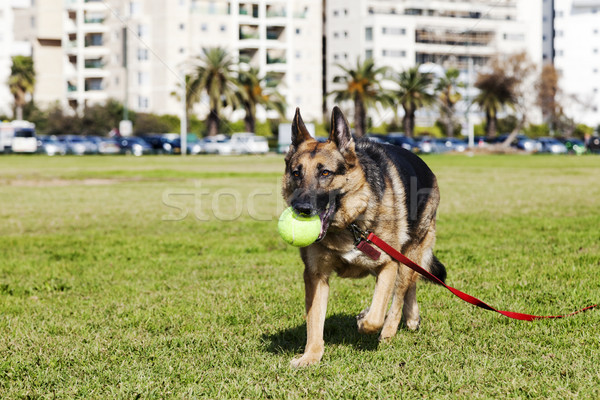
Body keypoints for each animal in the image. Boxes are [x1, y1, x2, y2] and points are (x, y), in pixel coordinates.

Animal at [284, 106, 448, 366]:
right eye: (296, 173)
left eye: (325, 173)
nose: (301, 209)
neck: (349, 225)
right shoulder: (315, 276)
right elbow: (314, 321)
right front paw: (311, 355)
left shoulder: (388, 264)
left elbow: (376, 316)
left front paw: (365, 322)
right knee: (411, 284)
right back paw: (412, 318)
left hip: (408, 254)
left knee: (400, 294)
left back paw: (390, 331)